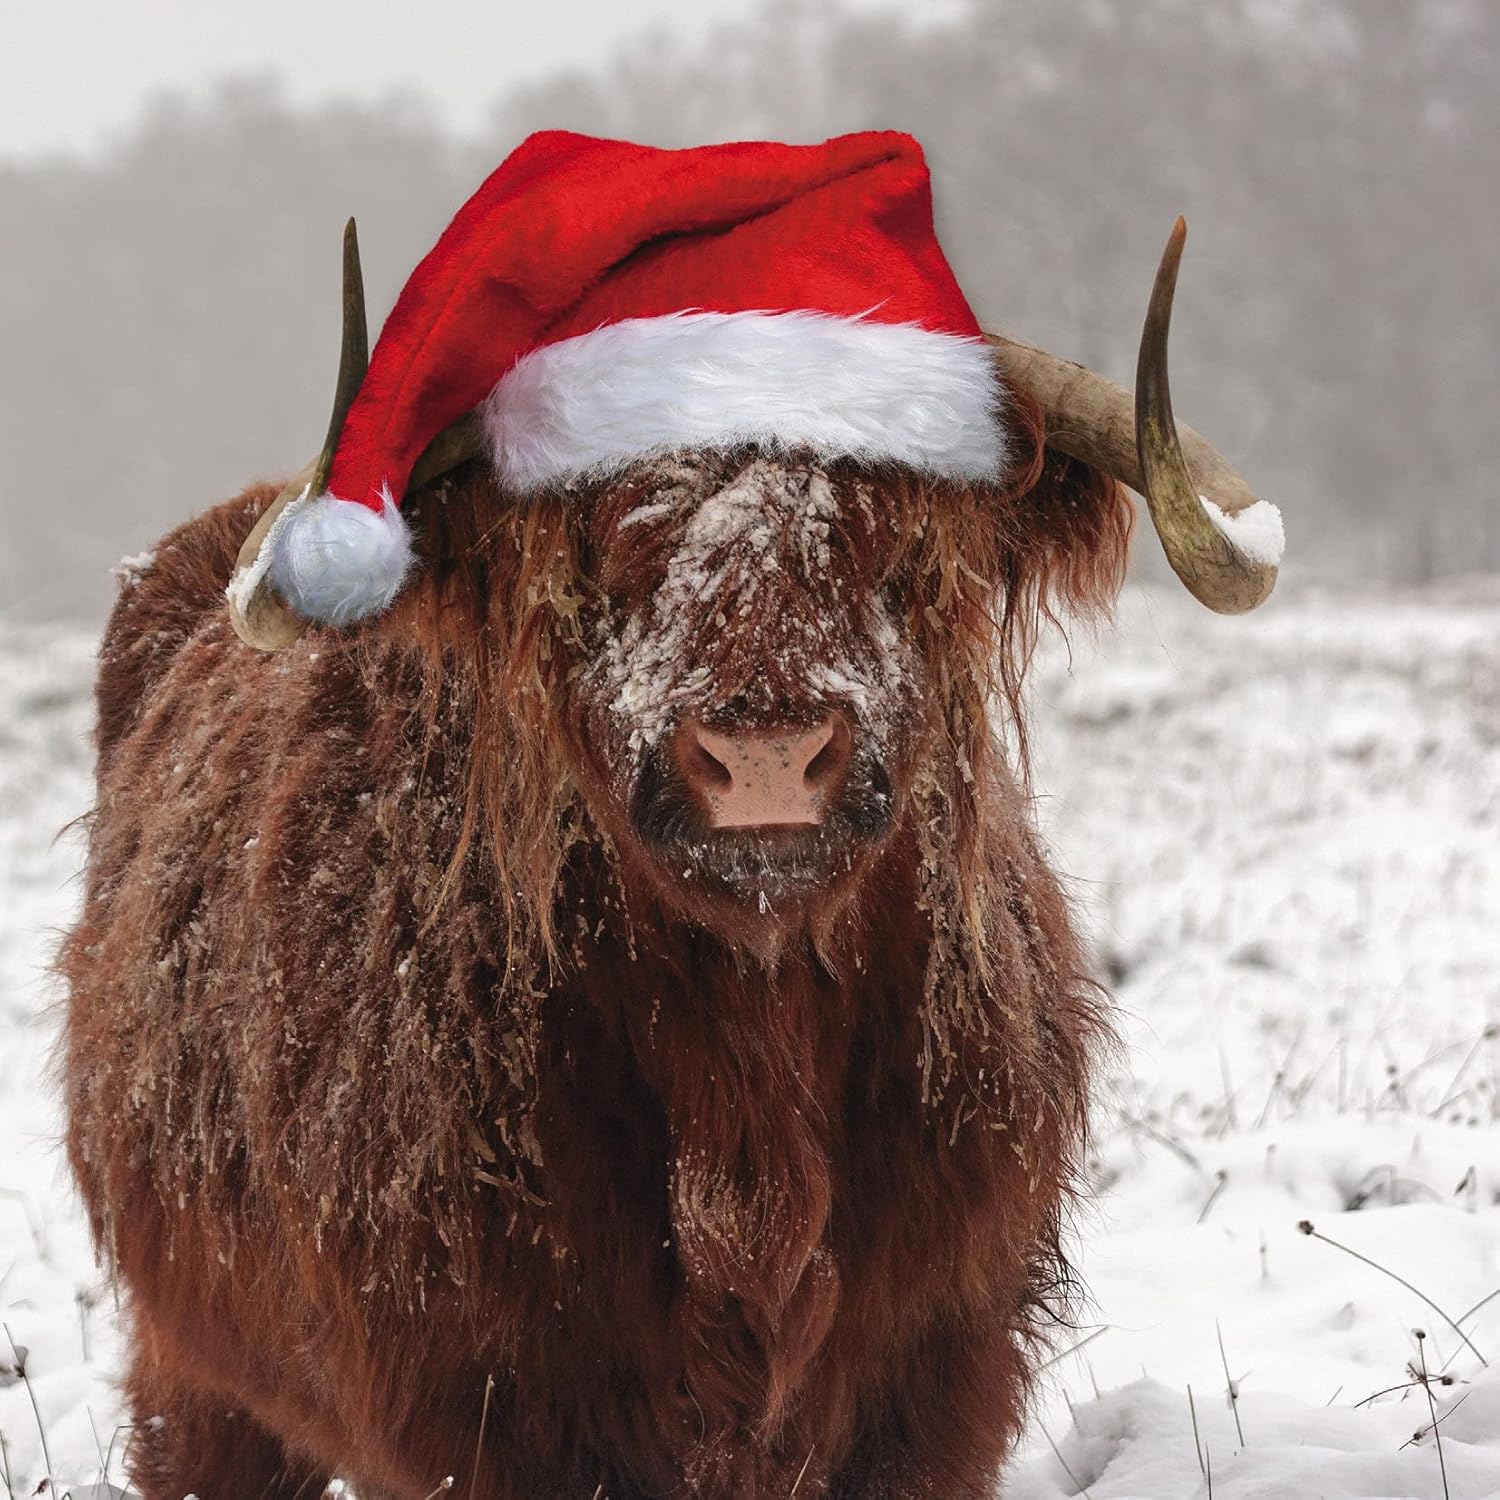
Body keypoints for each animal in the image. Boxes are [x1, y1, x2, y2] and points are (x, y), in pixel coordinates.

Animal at [60, 133, 1278, 1500]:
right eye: (603, 545)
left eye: (899, 540)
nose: (766, 754)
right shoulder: (479, 1405)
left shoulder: (936, 1378)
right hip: (199, 1379)